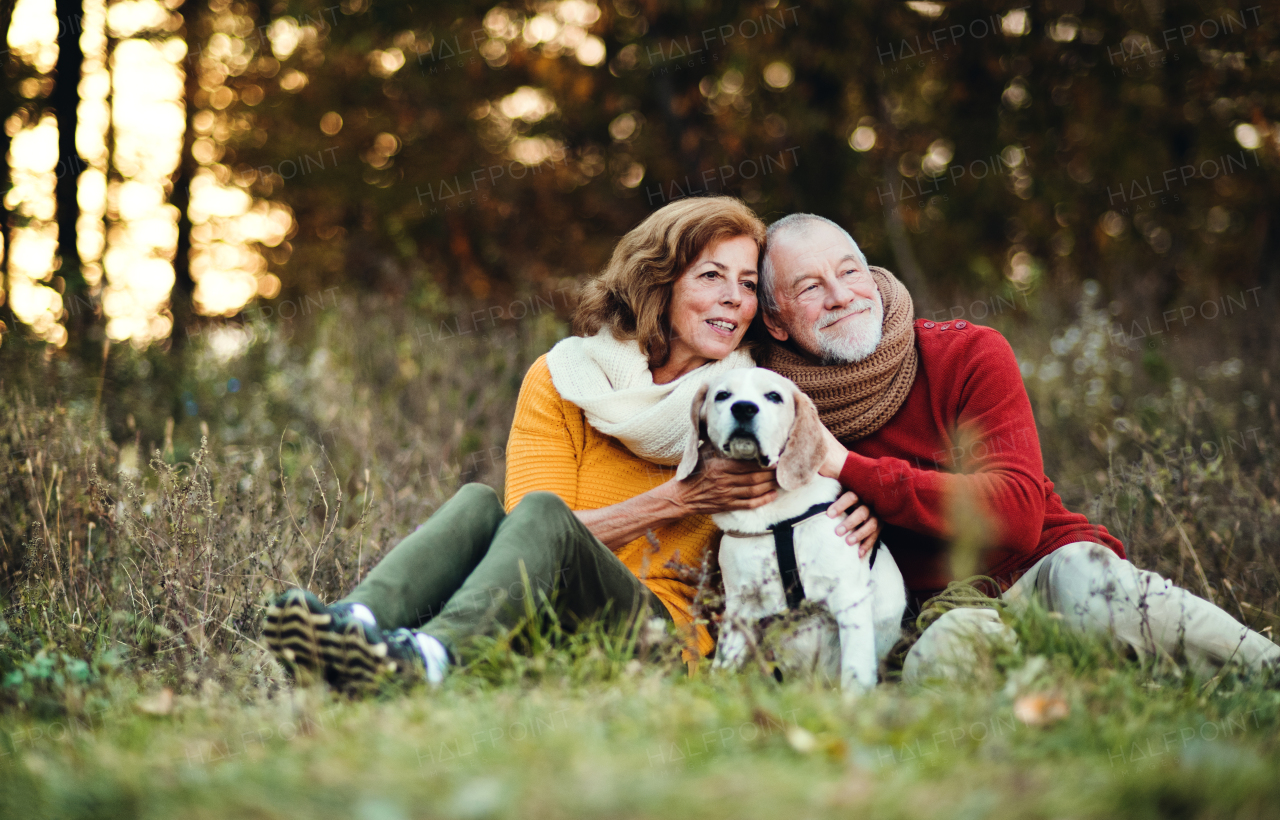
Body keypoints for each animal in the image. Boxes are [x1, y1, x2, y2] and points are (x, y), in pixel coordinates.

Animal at [675, 368, 906, 685]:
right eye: (722, 395)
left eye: (774, 396)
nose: (743, 408)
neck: (770, 519)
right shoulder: (740, 608)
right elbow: (722, 668)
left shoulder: (850, 600)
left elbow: (854, 675)